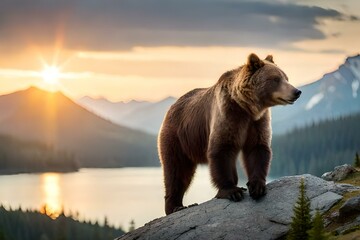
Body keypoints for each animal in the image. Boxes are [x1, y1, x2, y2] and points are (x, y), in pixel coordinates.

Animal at [158, 53, 300, 215]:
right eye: (275, 79)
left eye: (286, 77)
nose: (296, 92)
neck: (247, 107)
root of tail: (172, 106)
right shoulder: (228, 114)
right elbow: (221, 149)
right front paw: (232, 191)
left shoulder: (257, 122)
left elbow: (257, 148)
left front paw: (257, 186)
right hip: (177, 137)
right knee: (177, 170)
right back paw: (175, 206)